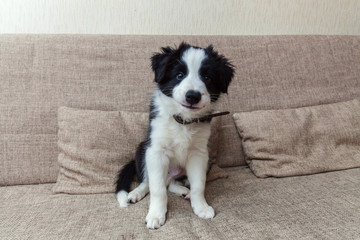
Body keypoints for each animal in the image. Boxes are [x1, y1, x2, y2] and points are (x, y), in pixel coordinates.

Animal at [114, 42, 233, 230]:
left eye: (207, 77)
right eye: (179, 75)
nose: (193, 96)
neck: (183, 120)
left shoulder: (199, 153)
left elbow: (199, 184)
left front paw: (201, 207)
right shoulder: (156, 151)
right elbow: (157, 188)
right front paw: (156, 215)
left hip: (206, 161)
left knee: (171, 183)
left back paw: (184, 191)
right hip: (142, 149)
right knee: (148, 181)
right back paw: (135, 193)